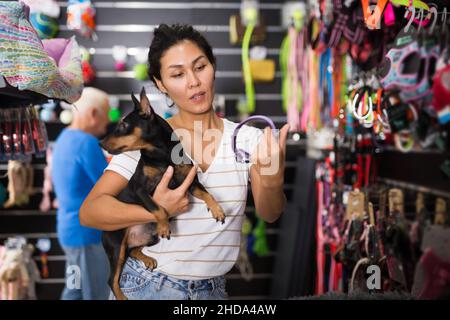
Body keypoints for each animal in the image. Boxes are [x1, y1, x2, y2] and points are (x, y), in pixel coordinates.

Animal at [99, 87, 225, 300]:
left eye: (124, 124)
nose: (100, 143)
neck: (162, 153)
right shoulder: (141, 190)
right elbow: (159, 208)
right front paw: (166, 225)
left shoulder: (190, 183)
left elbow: (207, 194)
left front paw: (217, 210)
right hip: (116, 246)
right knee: (111, 278)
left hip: (149, 237)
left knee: (133, 250)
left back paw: (147, 258)